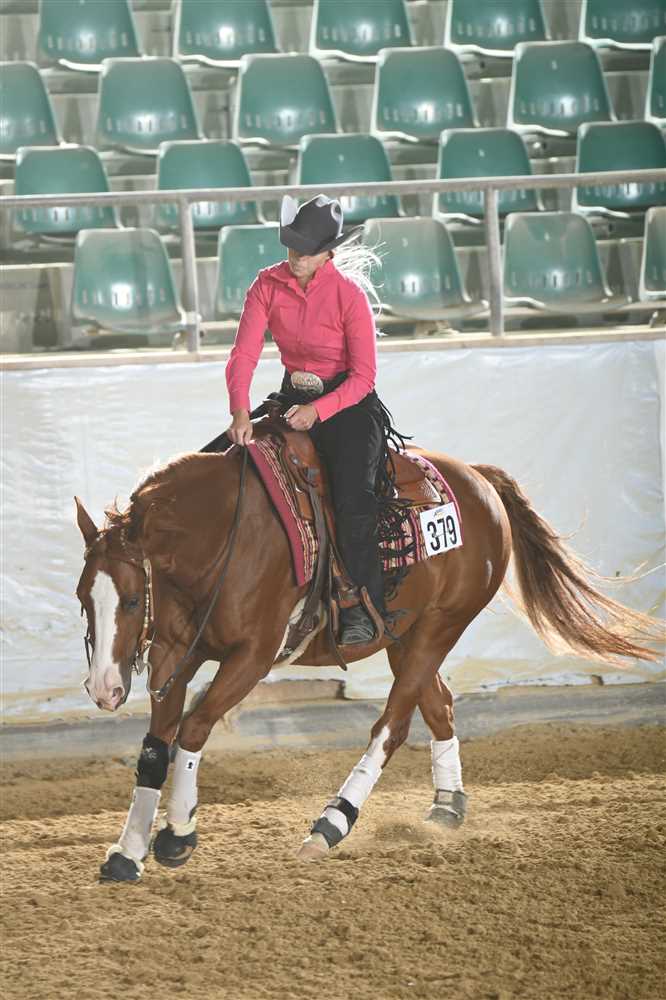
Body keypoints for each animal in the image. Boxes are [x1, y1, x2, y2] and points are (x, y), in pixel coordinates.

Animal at [74, 439, 661, 882]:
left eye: (132, 600)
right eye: (83, 597)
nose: (104, 689)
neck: (223, 534)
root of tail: (480, 480)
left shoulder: (253, 656)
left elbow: (194, 728)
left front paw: (178, 835)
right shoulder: (175, 654)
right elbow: (155, 747)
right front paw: (126, 853)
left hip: (442, 625)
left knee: (392, 726)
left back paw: (330, 825)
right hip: (407, 635)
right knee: (440, 706)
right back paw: (447, 806)